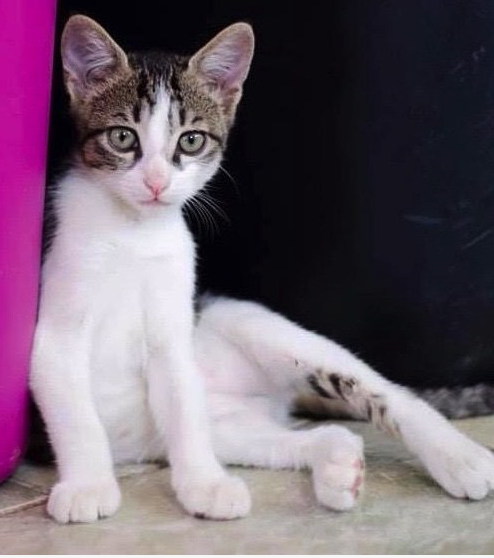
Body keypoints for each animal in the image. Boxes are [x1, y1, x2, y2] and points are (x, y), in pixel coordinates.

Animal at [30, 15, 494, 524]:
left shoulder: (174, 333)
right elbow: (76, 415)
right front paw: (88, 485)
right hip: (232, 425)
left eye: (190, 140)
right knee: (318, 433)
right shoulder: (54, 332)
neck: (134, 231)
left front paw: (203, 482)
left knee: (387, 393)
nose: (156, 182)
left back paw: (460, 457)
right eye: (122, 137)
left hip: (254, 325)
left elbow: (182, 409)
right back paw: (339, 466)